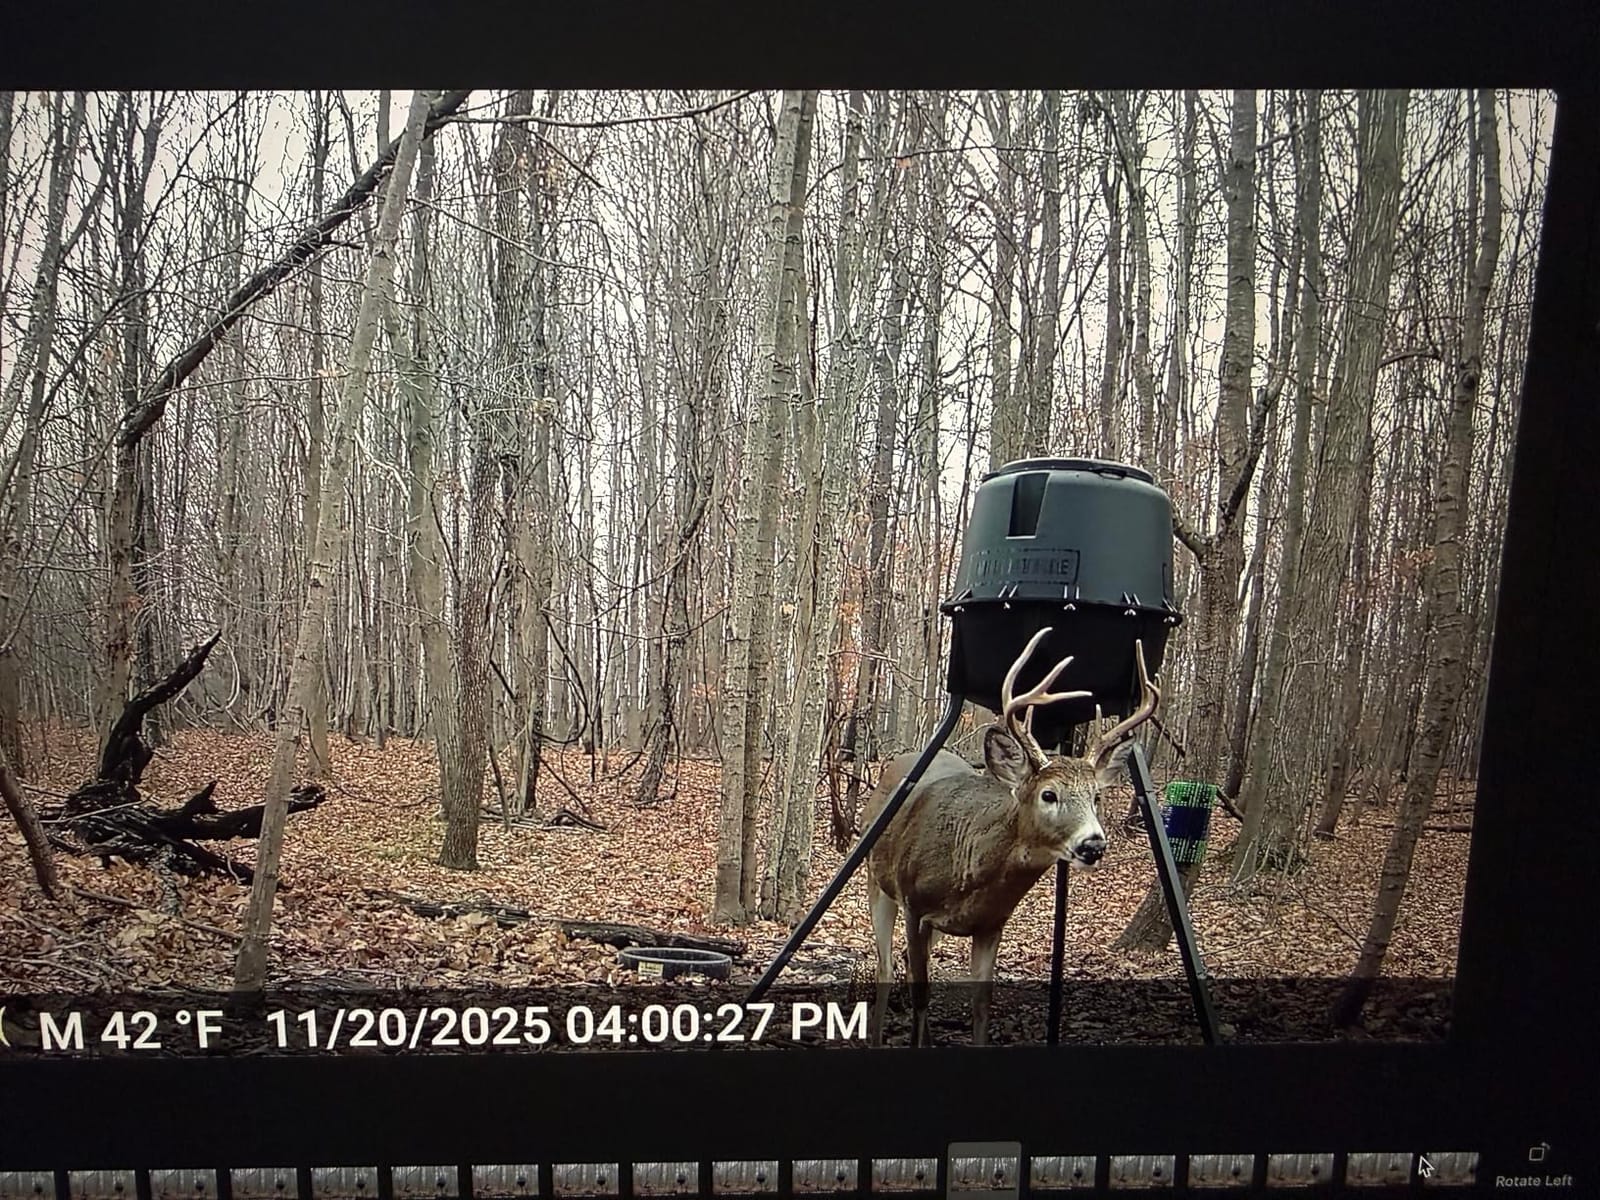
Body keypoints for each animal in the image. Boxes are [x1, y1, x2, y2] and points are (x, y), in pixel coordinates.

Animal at [862, 629, 1160, 1046]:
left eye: (1096, 797)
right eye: (1048, 794)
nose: (1093, 844)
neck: (968, 871)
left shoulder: (991, 924)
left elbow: (981, 1006)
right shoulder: (915, 905)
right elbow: (921, 994)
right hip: (879, 883)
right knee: (885, 966)